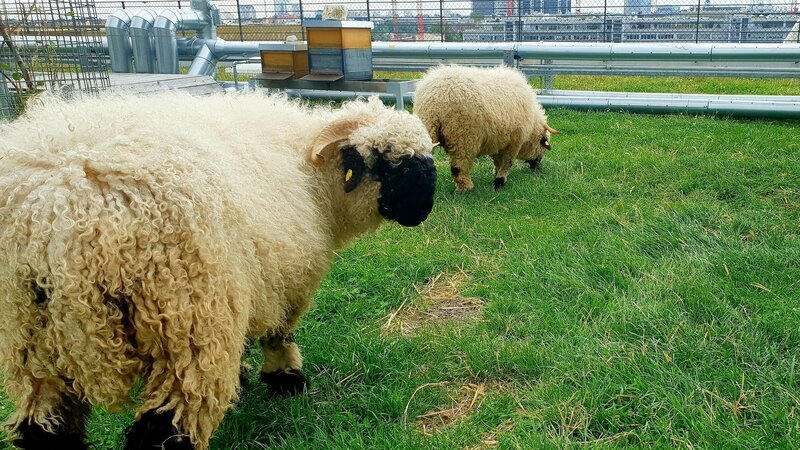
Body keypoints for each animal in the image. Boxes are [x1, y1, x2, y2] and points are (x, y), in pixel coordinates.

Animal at [0, 92, 436, 450]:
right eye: (387, 162)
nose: (423, 212)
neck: (315, 182)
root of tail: (59, 219)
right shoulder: (285, 280)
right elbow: (279, 331)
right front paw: (285, 378)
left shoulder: (246, 283)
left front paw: (244, 378)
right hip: (187, 321)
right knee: (165, 432)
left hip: (31, 342)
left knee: (44, 427)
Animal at [413, 65, 560, 192]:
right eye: (543, 144)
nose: (537, 166)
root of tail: (435, 99)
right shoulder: (514, 141)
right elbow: (507, 162)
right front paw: (499, 181)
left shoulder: (498, 139)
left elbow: (497, 160)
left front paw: (496, 174)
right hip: (463, 136)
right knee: (459, 166)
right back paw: (466, 188)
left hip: (427, 127)